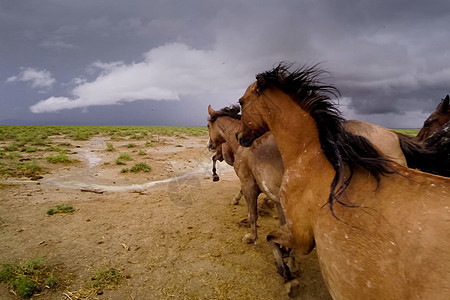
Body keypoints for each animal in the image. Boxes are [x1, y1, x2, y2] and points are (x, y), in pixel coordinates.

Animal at [236, 63, 450, 300]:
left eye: (241, 102)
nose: (239, 137)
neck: (310, 154)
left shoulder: (300, 236)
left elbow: (271, 239)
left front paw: (287, 276)